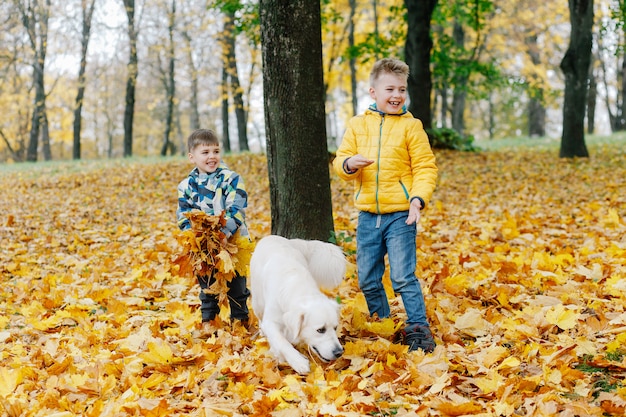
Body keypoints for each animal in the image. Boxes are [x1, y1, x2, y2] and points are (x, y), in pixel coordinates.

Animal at [250, 234, 346, 374]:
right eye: (320, 330)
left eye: (335, 328)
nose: (339, 352)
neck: (299, 290)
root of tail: (272, 236)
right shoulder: (271, 322)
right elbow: (281, 342)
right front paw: (298, 362)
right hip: (258, 302)